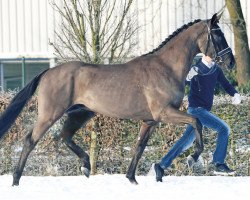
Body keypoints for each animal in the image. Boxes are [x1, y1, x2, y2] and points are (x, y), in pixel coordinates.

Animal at [0, 12, 234, 186]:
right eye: (218, 35)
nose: (231, 62)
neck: (166, 68)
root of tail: (48, 72)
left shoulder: (150, 121)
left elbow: (139, 147)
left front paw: (132, 178)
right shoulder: (164, 113)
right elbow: (196, 121)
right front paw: (193, 157)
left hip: (81, 113)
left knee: (65, 136)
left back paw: (86, 165)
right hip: (50, 114)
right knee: (31, 140)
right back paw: (16, 180)